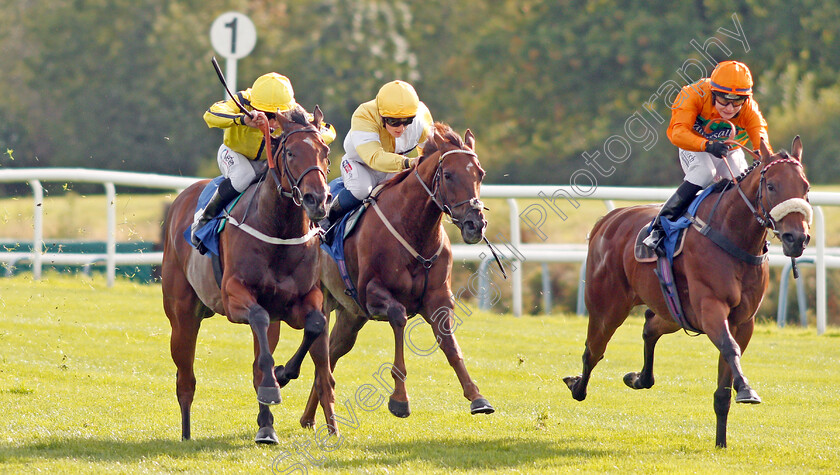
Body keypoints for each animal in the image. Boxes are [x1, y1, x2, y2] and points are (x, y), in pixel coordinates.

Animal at [162, 108, 336, 446]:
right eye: (291, 152)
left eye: (326, 152)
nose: (318, 201)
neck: (278, 231)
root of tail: (181, 199)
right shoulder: (234, 296)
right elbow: (257, 318)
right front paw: (274, 382)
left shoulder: (304, 298)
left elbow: (315, 324)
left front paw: (281, 375)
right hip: (182, 315)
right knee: (185, 378)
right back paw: (187, 433)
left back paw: (266, 426)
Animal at [300, 122, 492, 428]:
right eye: (448, 175)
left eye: (480, 174)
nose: (475, 224)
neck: (414, 231)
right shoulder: (373, 293)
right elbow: (399, 318)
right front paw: (400, 399)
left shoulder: (438, 299)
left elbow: (450, 346)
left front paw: (477, 397)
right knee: (321, 352)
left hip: (351, 316)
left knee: (331, 353)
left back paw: (309, 417)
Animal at [564, 137, 812, 446]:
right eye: (772, 187)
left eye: (806, 188)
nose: (797, 238)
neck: (732, 235)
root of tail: (609, 218)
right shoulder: (711, 309)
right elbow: (729, 348)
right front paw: (746, 389)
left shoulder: (742, 321)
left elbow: (724, 383)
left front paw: (721, 442)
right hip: (607, 307)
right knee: (593, 351)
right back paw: (577, 386)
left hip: (673, 311)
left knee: (649, 327)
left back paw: (638, 378)